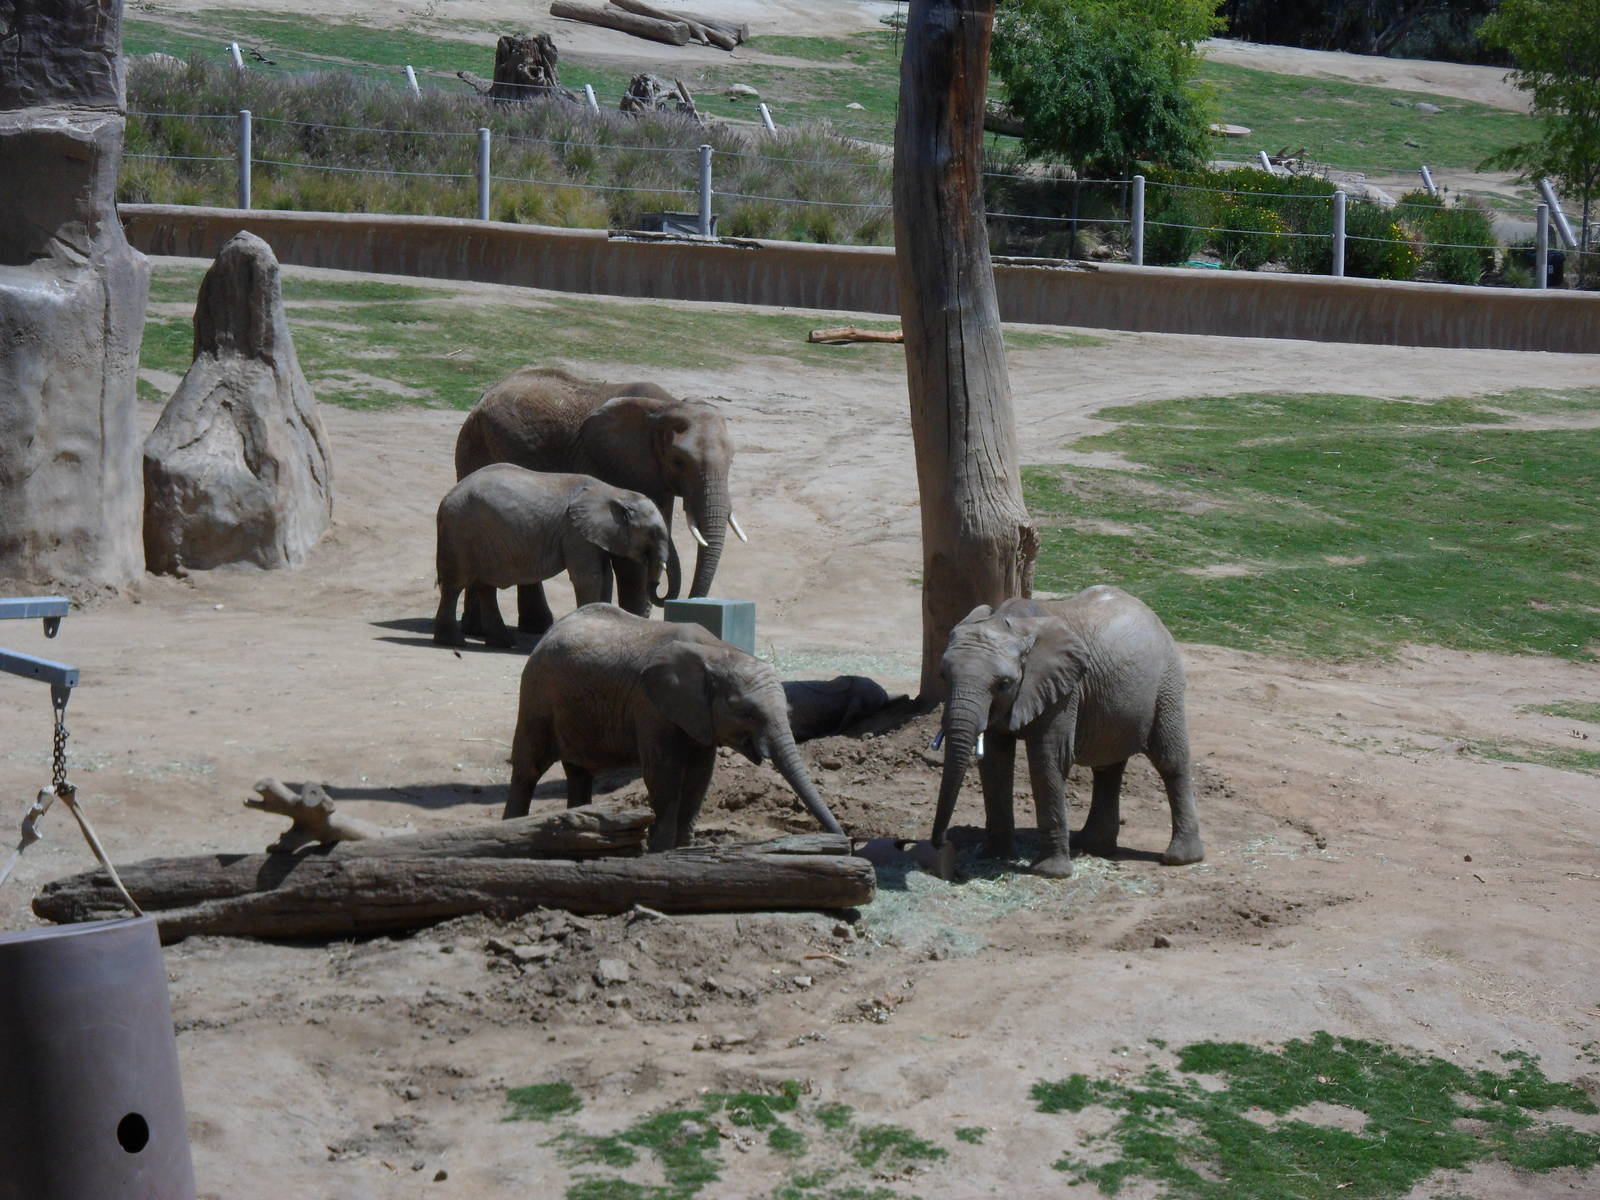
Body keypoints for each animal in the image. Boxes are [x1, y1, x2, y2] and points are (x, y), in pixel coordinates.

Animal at [434, 465, 671, 649]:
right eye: (653, 533)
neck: (614, 492)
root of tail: (445, 499)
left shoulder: (592, 535)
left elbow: (605, 577)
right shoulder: (575, 533)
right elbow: (588, 577)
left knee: (485, 587)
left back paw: (503, 643)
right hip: (460, 530)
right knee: (455, 584)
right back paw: (453, 642)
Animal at [453, 366, 742, 636]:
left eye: (731, 461)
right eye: (679, 461)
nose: (666, 594)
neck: (665, 406)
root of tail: (485, 395)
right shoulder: (610, 465)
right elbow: (629, 557)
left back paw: (519, 627)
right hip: (475, 447)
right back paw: (485, 630)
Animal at [504, 604, 844, 852]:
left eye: (787, 711)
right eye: (747, 713)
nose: (848, 843)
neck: (717, 652)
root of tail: (551, 630)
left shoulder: (700, 718)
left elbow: (700, 775)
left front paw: (683, 847)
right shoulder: (650, 705)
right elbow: (664, 772)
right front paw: (660, 849)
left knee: (578, 771)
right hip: (537, 692)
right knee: (528, 767)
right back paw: (512, 832)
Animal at [930, 586, 1203, 878]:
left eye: (1003, 683)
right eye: (943, 676)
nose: (941, 844)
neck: (1016, 625)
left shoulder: (1064, 690)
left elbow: (1048, 760)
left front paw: (1050, 873)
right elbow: (995, 762)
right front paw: (993, 855)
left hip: (1167, 684)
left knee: (1170, 760)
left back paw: (1180, 858)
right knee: (1107, 765)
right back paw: (1092, 846)